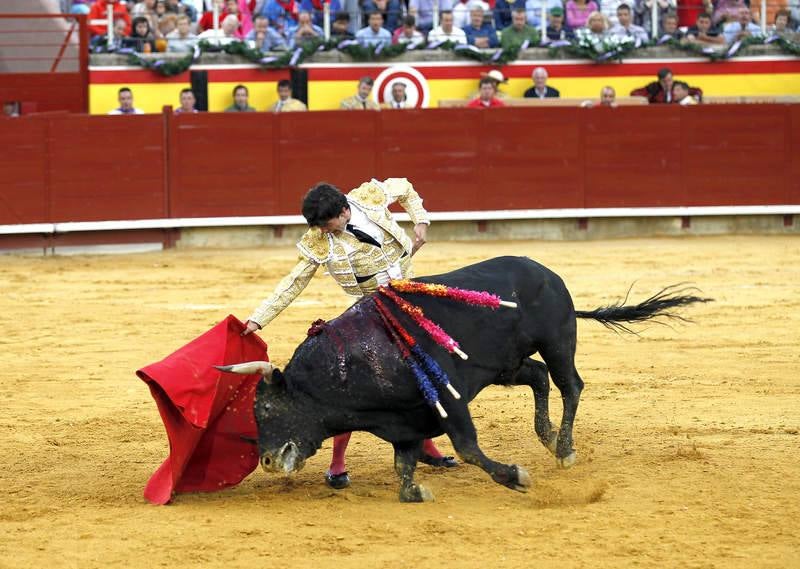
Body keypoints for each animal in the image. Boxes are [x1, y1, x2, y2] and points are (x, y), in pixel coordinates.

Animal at [217, 258, 708, 502]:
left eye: (266, 408)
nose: (266, 461)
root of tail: (546, 272)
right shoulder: (404, 422)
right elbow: (404, 470)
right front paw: (419, 490)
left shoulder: (447, 399)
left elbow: (469, 447)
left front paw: (515, 476)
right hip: (505, 364)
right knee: (539, 377)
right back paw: (549, 436)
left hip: (558, 340)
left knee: (570, 385)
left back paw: (564, 448)